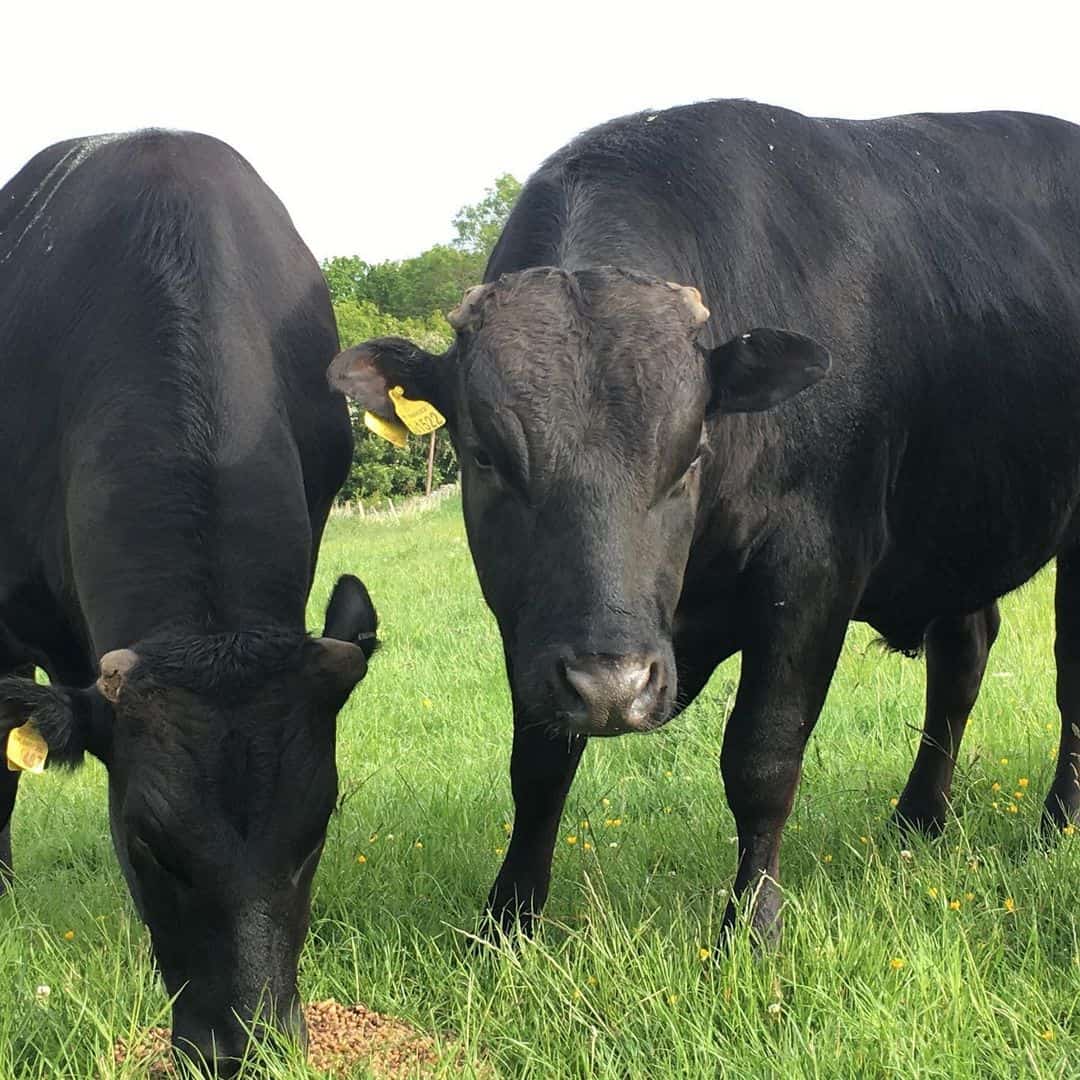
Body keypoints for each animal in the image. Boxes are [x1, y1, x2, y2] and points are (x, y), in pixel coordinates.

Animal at [329, 99, 1080, 947]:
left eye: (691, 451)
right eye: (485, 456)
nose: (613, 685)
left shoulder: (815, 570)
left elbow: (761, 758)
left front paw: (751, 930)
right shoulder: (531, 624)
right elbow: (539, 766)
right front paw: (507, 924)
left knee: (1068, 678)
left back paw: (1056, 825)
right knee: (963, 657)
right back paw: (916, 821)